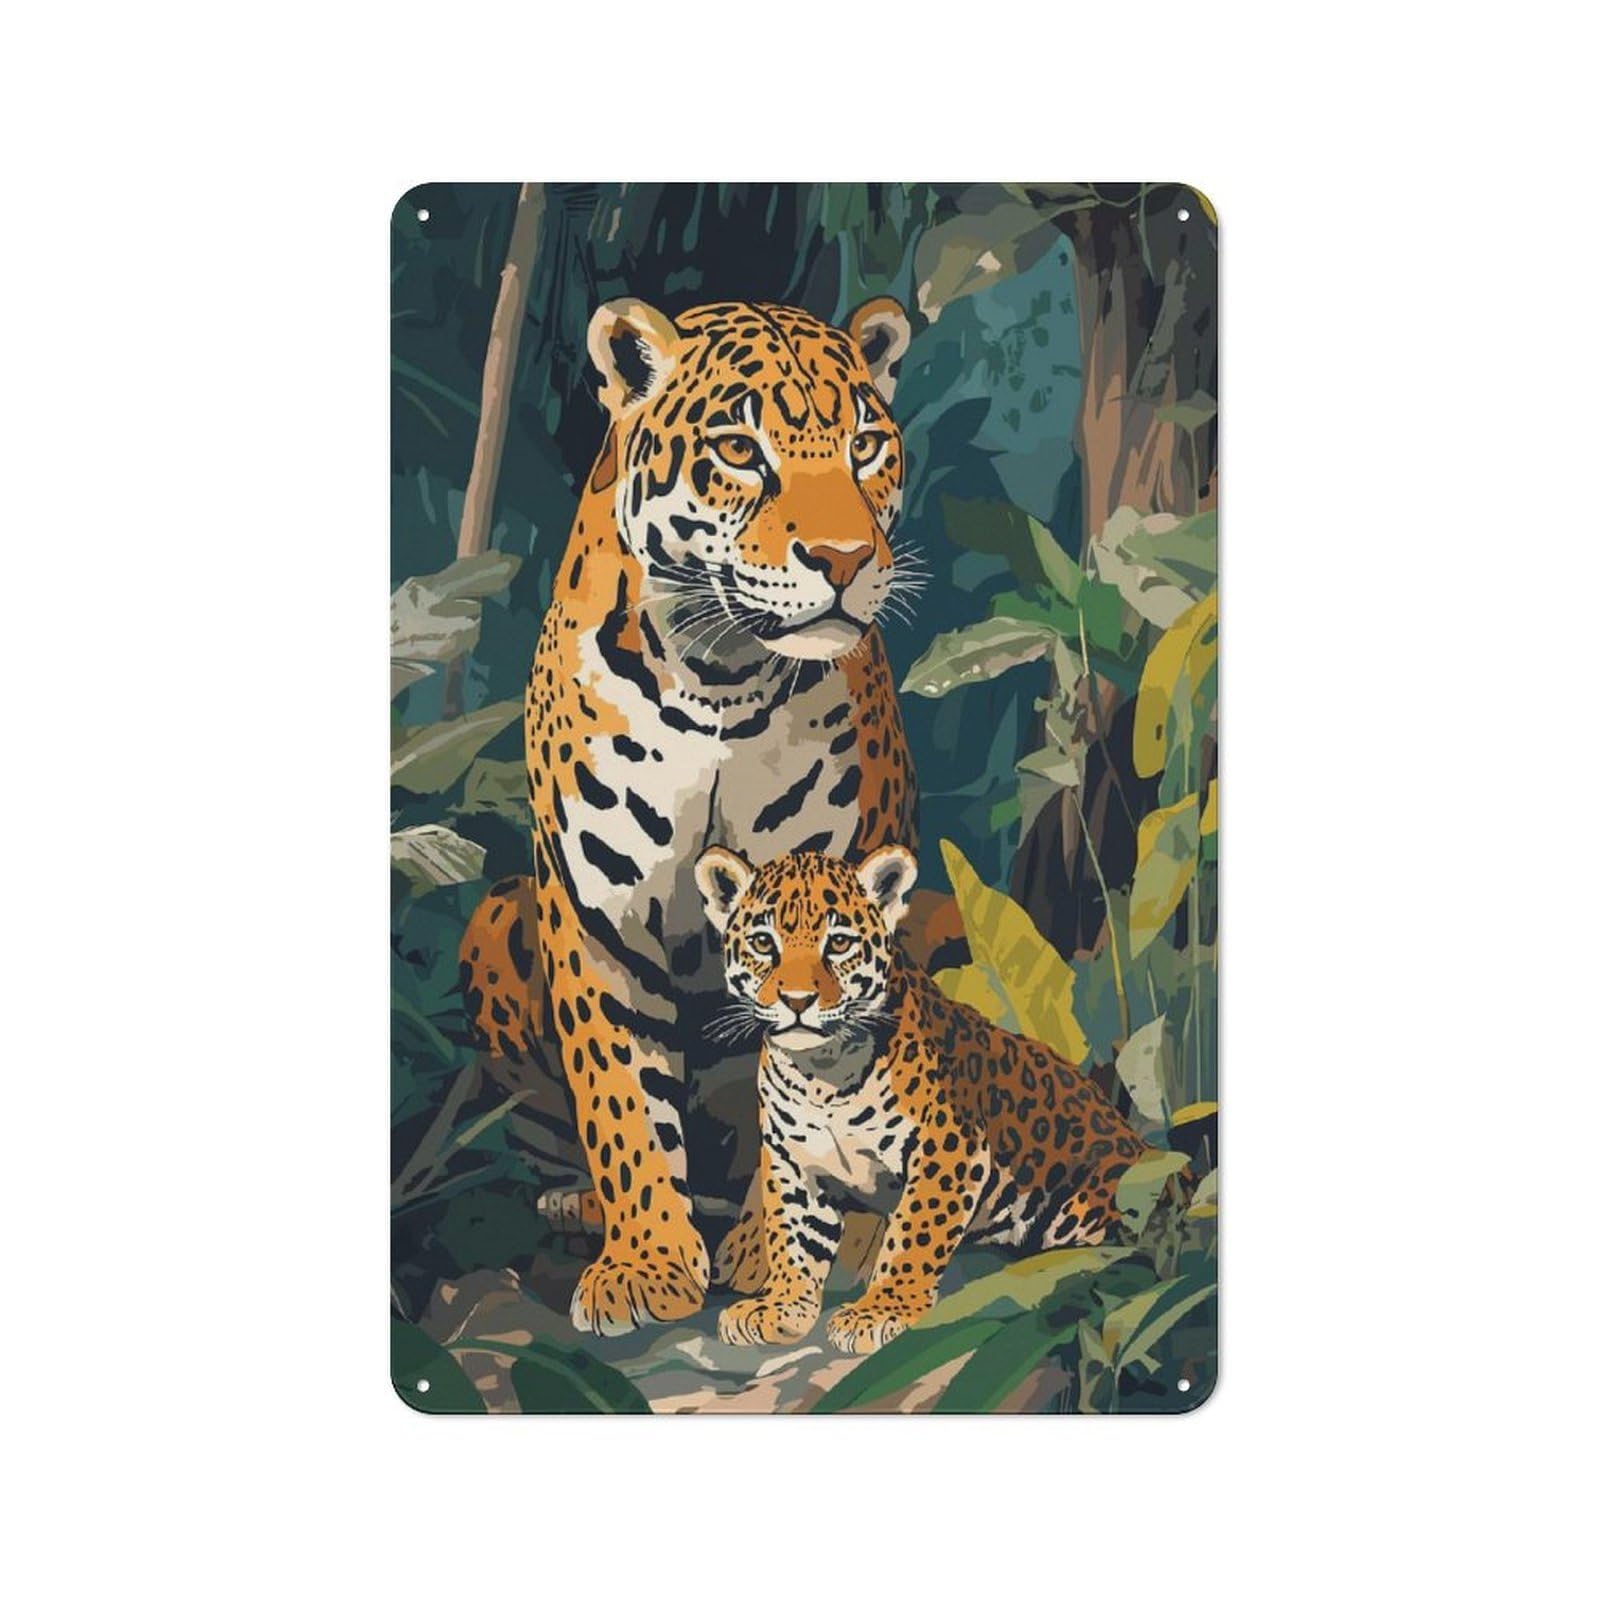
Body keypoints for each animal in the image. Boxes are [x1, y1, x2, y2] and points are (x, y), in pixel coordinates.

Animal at [458, 297, 923, 1335]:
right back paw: (582, 1206)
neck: (721, 676)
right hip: (497, 915)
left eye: (866, 445)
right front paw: (644, 1264)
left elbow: (793, 1094)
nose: (845, 561)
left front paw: (769, 1253)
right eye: (741, 451)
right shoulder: (596, 916)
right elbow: (622, 1102)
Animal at [693, 844, 1166, 1354]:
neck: (821, 1073)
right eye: (764, 943)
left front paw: (882, 1310)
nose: (797, 1001)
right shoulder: (792, 1160)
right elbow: (792, 1236)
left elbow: (913, 1233)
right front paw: (780, 1306)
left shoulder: (949, 1147)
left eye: (838, 944)